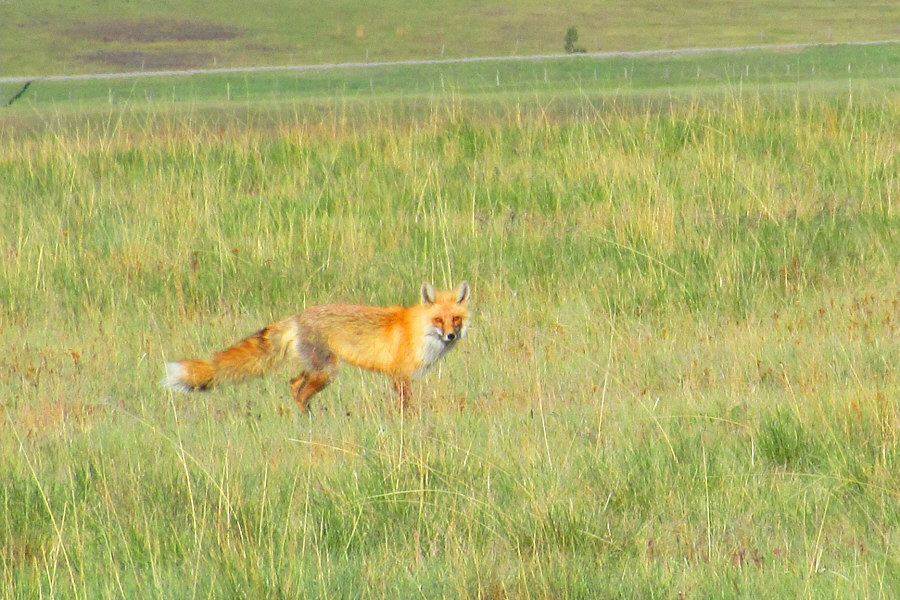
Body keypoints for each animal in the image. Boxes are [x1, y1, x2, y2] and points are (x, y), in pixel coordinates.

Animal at [163, 281, 470, 413]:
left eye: (456, 319)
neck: (417, 331)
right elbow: (408, 408)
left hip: (315, 368)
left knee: (292, 385)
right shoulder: (400, 376)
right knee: (299, 392)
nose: (450, 336)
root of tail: (296, 316)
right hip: (326, 371)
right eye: (438, 319)